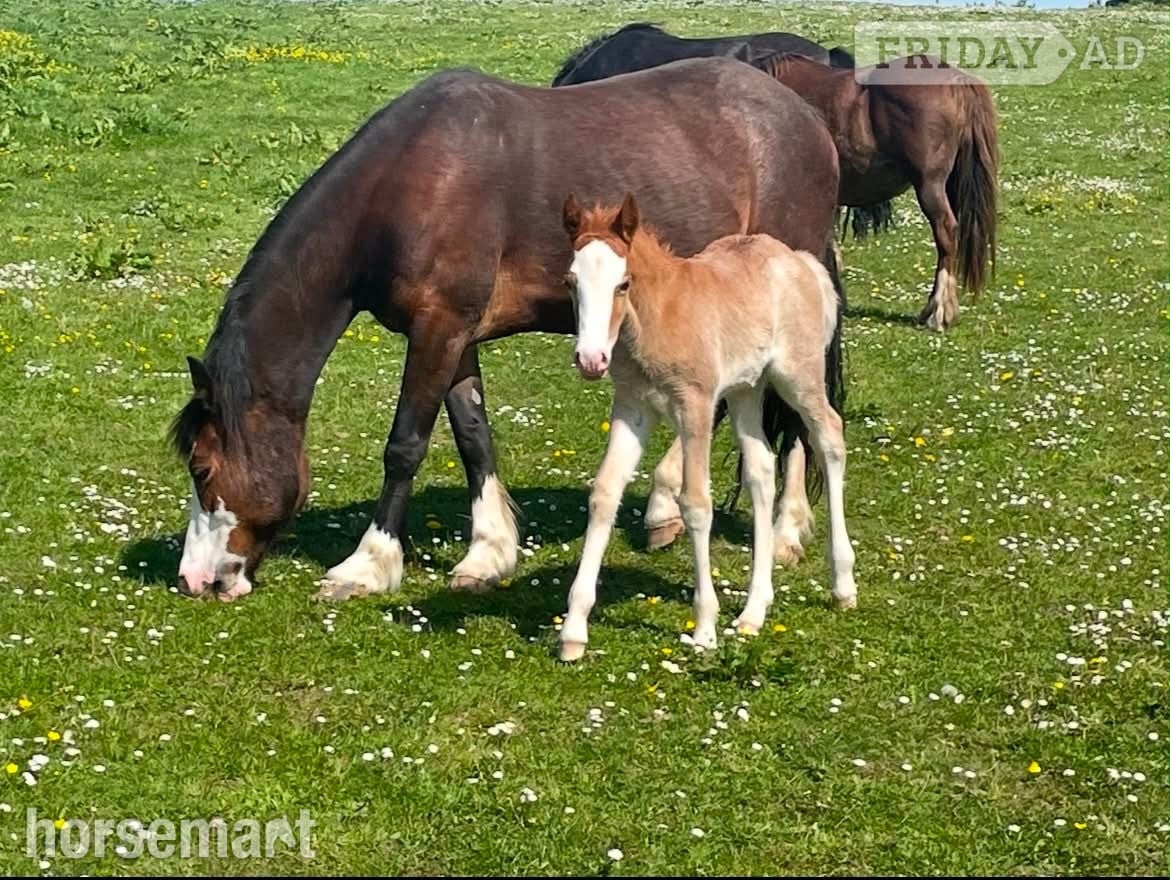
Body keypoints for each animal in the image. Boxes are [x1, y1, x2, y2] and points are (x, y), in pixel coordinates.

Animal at [169, 57, 844, 603]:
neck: (408, 185)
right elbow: (473, 436)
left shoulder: (437, 329)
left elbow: (405, 445)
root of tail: (806, 116)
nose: (194, 579)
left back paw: (785, 528)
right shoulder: (455, 334)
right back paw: (664, 506)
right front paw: (488, 553)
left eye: (202, 469)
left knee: (797, 412)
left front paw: (368, 564)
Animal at [557, 194, 856, 661]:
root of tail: (802, 262)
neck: (657, 315)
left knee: (830, 437)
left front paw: (704, 628)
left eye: (623, 284)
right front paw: (573, 631)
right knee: (761, 469)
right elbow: (605, 493)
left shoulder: (695, 406)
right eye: (571, 281)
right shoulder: (632, 407)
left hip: (798, 376)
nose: (591, 360)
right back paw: (754, 611)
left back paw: (843, 585)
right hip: (747, 389)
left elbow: (696, 503)